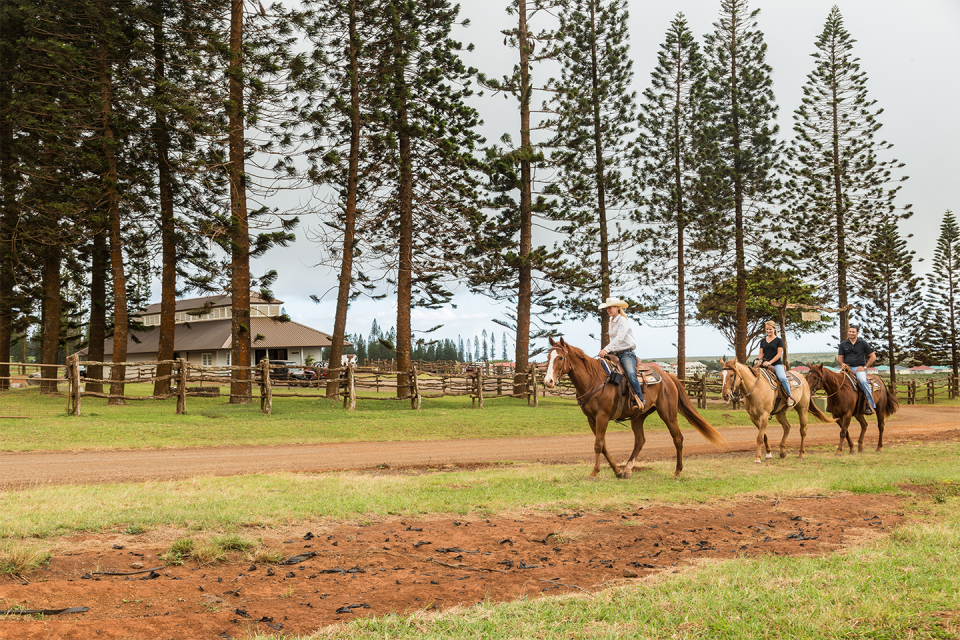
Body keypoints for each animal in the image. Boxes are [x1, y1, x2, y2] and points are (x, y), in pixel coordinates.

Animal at [544, 338, 724, 478]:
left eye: (560, 357)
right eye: (548, 357)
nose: (548, 382)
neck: (594, 379)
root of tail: (668, 376)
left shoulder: (602, 416)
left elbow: (598, 445)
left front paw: (594, 473)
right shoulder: (591, 419)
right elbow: (603, 445)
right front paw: (617, 471)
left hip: (668, 414)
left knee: (678, 438)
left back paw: (677, 471)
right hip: (639, 417)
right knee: (640, 440)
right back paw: (628, 469)